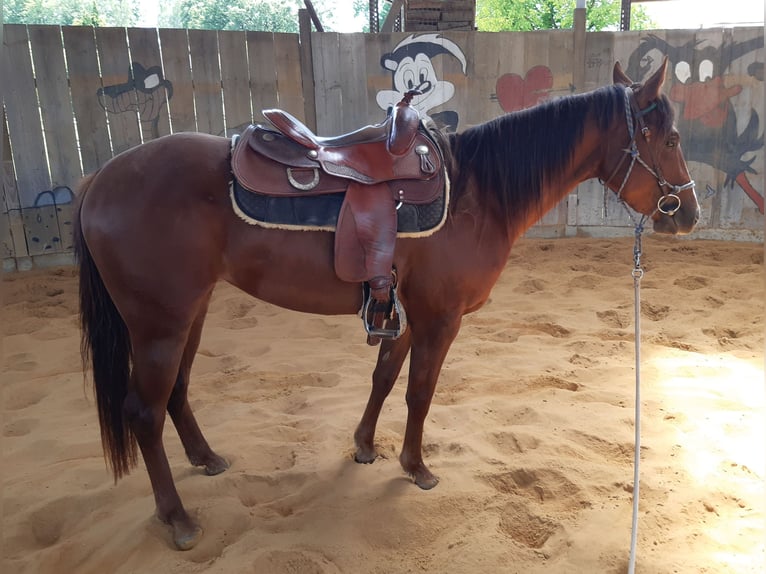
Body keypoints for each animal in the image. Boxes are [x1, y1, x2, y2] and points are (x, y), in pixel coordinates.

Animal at [73, 59, 699, 550]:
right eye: (670, 141)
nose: (689, 215)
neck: (476, 192)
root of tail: (99, 180)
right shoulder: (440, 320)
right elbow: (420, 392)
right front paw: (415, 467)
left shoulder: (404, 314)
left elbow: (383, 377)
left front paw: (365, 446)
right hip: (159, 324)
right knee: (143, 412)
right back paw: (177, 518)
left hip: (190, 314)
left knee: (176, 392)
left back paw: (206, 459)